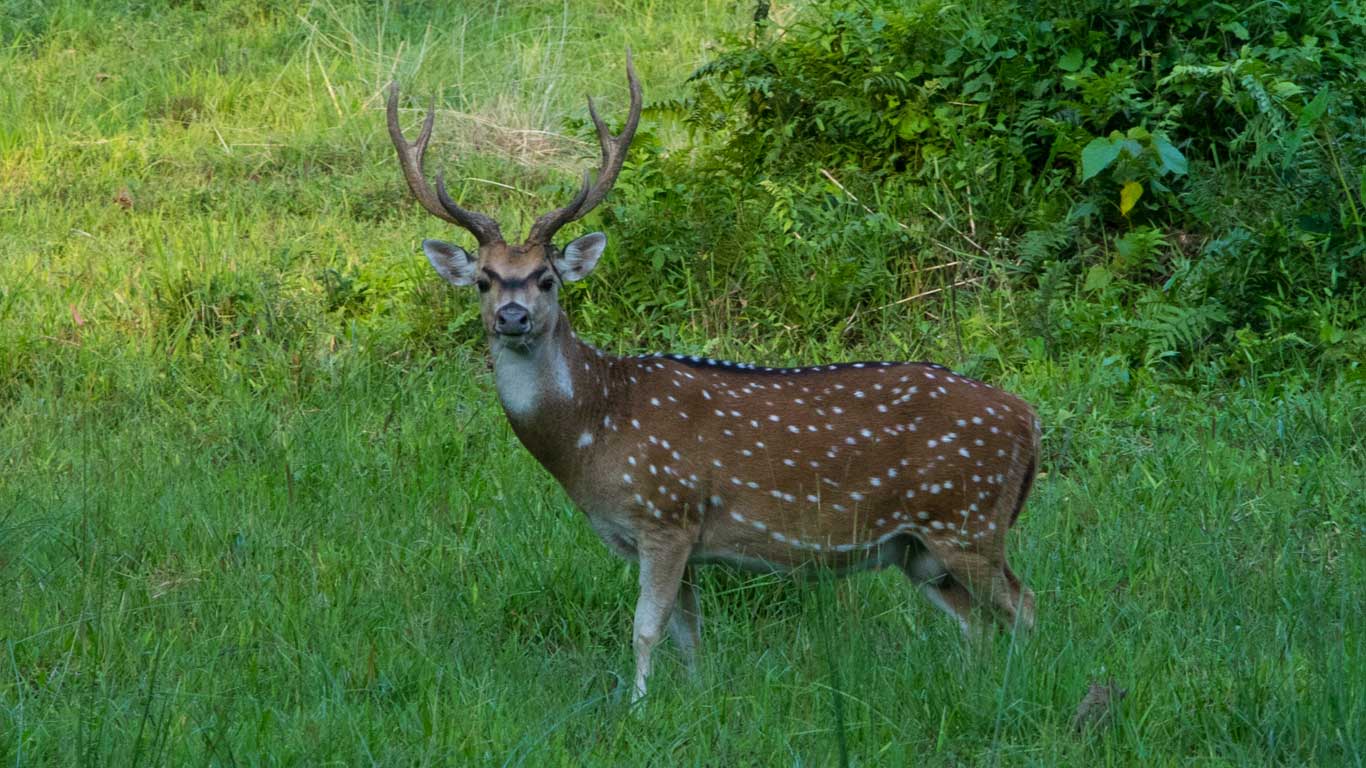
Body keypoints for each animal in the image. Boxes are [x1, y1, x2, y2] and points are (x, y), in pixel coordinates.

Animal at [390, 53, 1038, 699]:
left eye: (547, 279)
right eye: (484, 280)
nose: (513, 316)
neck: (593, 431)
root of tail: (1031, 422)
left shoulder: (665, 513)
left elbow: (645, 629)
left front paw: (637, 706)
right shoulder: (677, 540)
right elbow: (689, 635)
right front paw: (697, 699)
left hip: (966, 516)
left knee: (1023, 603)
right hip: (917, 548)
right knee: (977, 622)